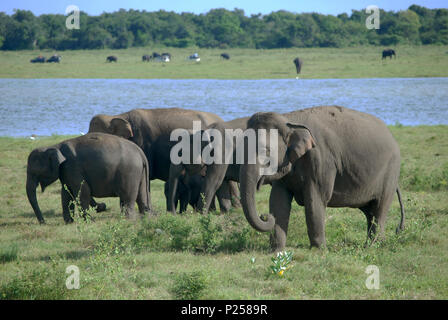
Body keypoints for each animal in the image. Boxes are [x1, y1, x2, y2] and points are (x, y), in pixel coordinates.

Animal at [240, 106, 404, 251]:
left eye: (266, 151)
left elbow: (316, 198)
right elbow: (277, 200)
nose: (265, 216)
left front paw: (319, 250)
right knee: (370, 212)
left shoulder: (321, 160)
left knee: (379, 208)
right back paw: (371, 244)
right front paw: (276, 250)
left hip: (391, 171)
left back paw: (374, 246)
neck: (289, 119)